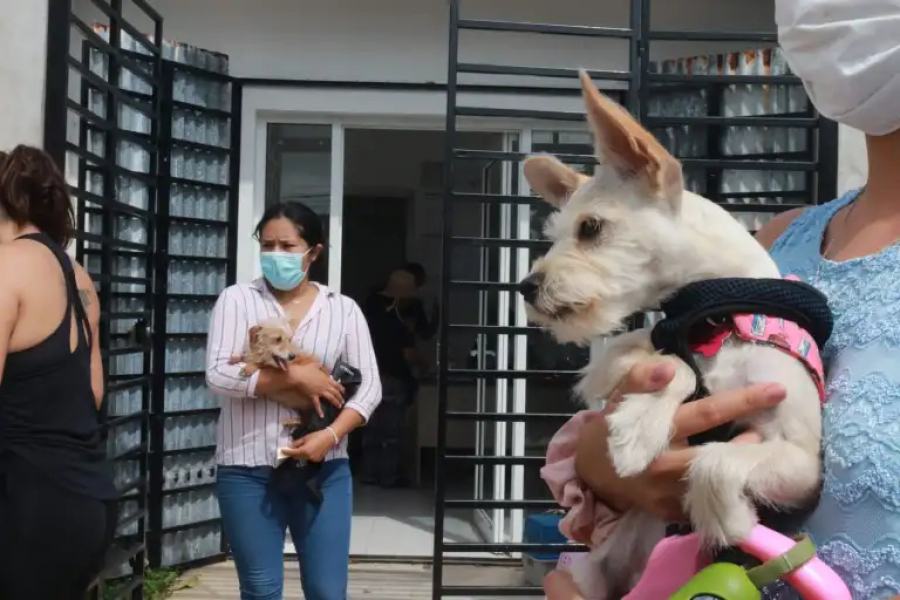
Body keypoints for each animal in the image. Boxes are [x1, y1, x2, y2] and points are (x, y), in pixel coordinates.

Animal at [520, 72, 824, 596]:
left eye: (590, 227)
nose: (527, 287)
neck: (716, 319)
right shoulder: (613, 364)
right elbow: (670, 361)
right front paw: (638, 430)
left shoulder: (803, 465)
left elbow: (714, 460)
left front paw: (728, 520)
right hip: (586, 575)